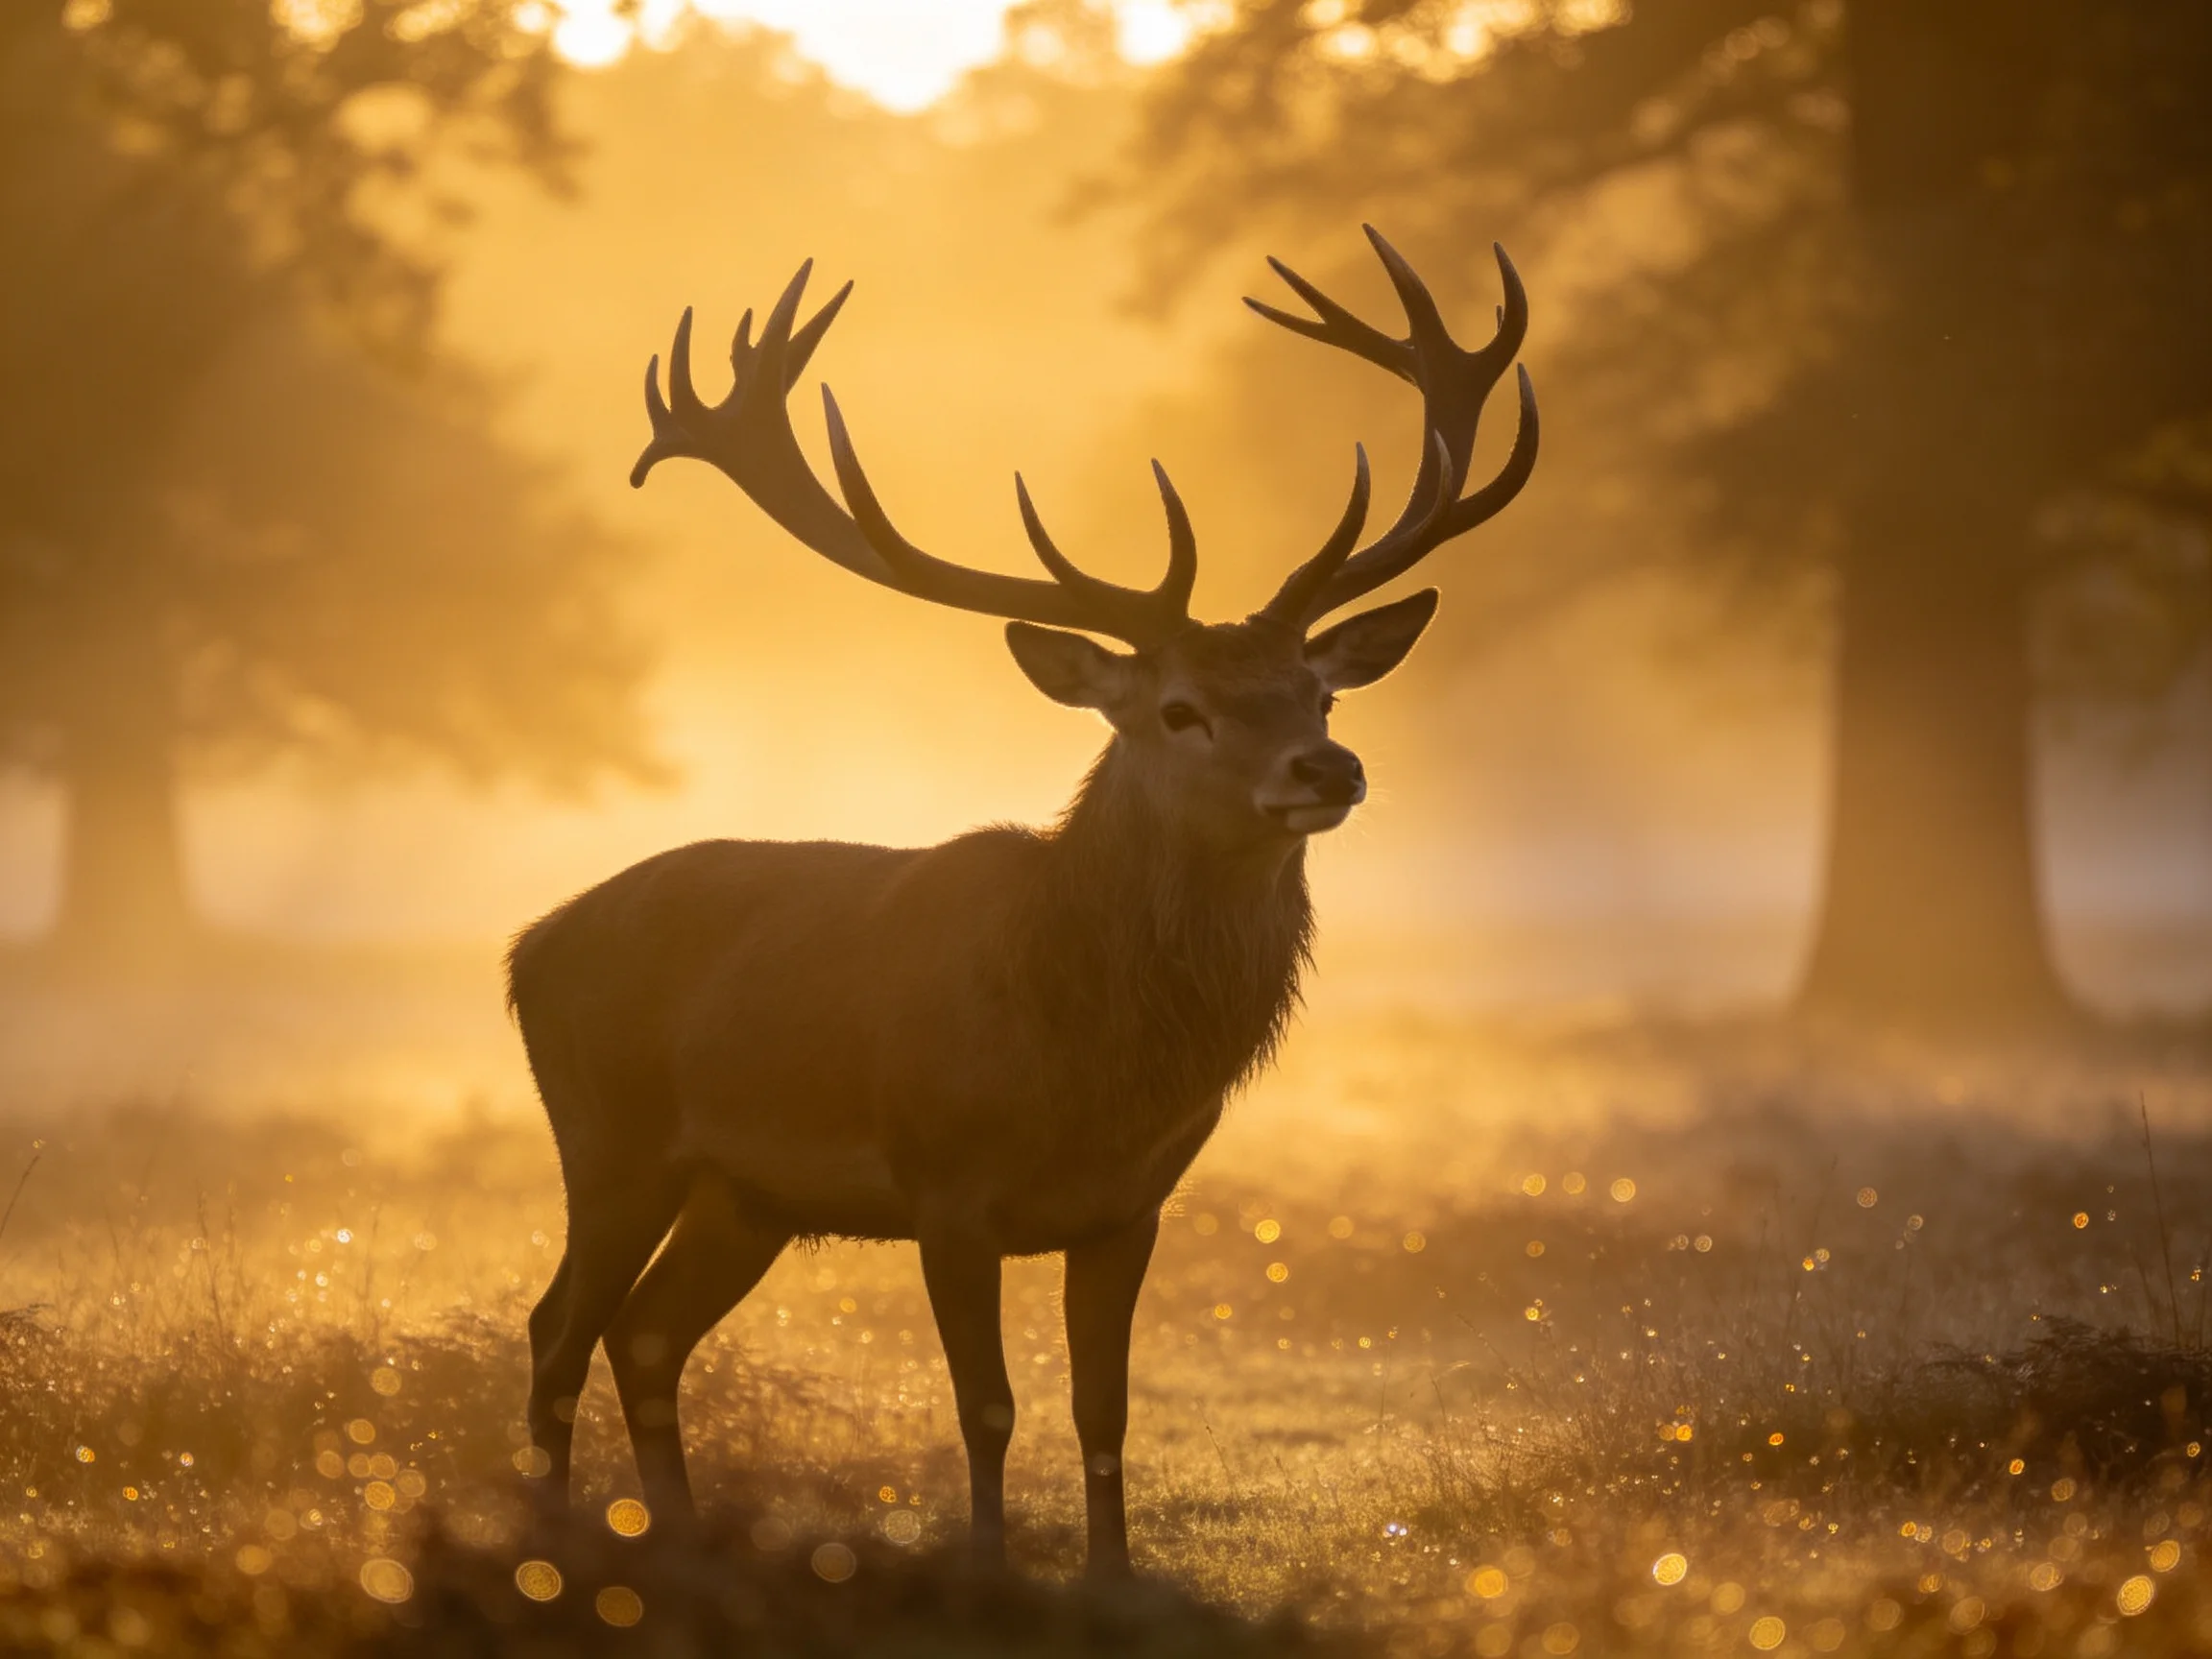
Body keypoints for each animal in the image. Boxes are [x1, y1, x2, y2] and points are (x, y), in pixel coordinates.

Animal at [507, 226, 1537, 1578]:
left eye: (1319, 692)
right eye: (1180, 709)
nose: (1330, 770)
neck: (1088, 1063)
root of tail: (525, 951)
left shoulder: (1132, 1206)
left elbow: (1103, 1406)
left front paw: (1113, 1577)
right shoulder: (945, 1187)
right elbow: (986, 1404)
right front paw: (991, 1567)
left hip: (745, 1196)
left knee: (645, 1335)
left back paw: (674, 1542)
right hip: (610, 1137)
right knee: (556, 1327)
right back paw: (549, 1539)